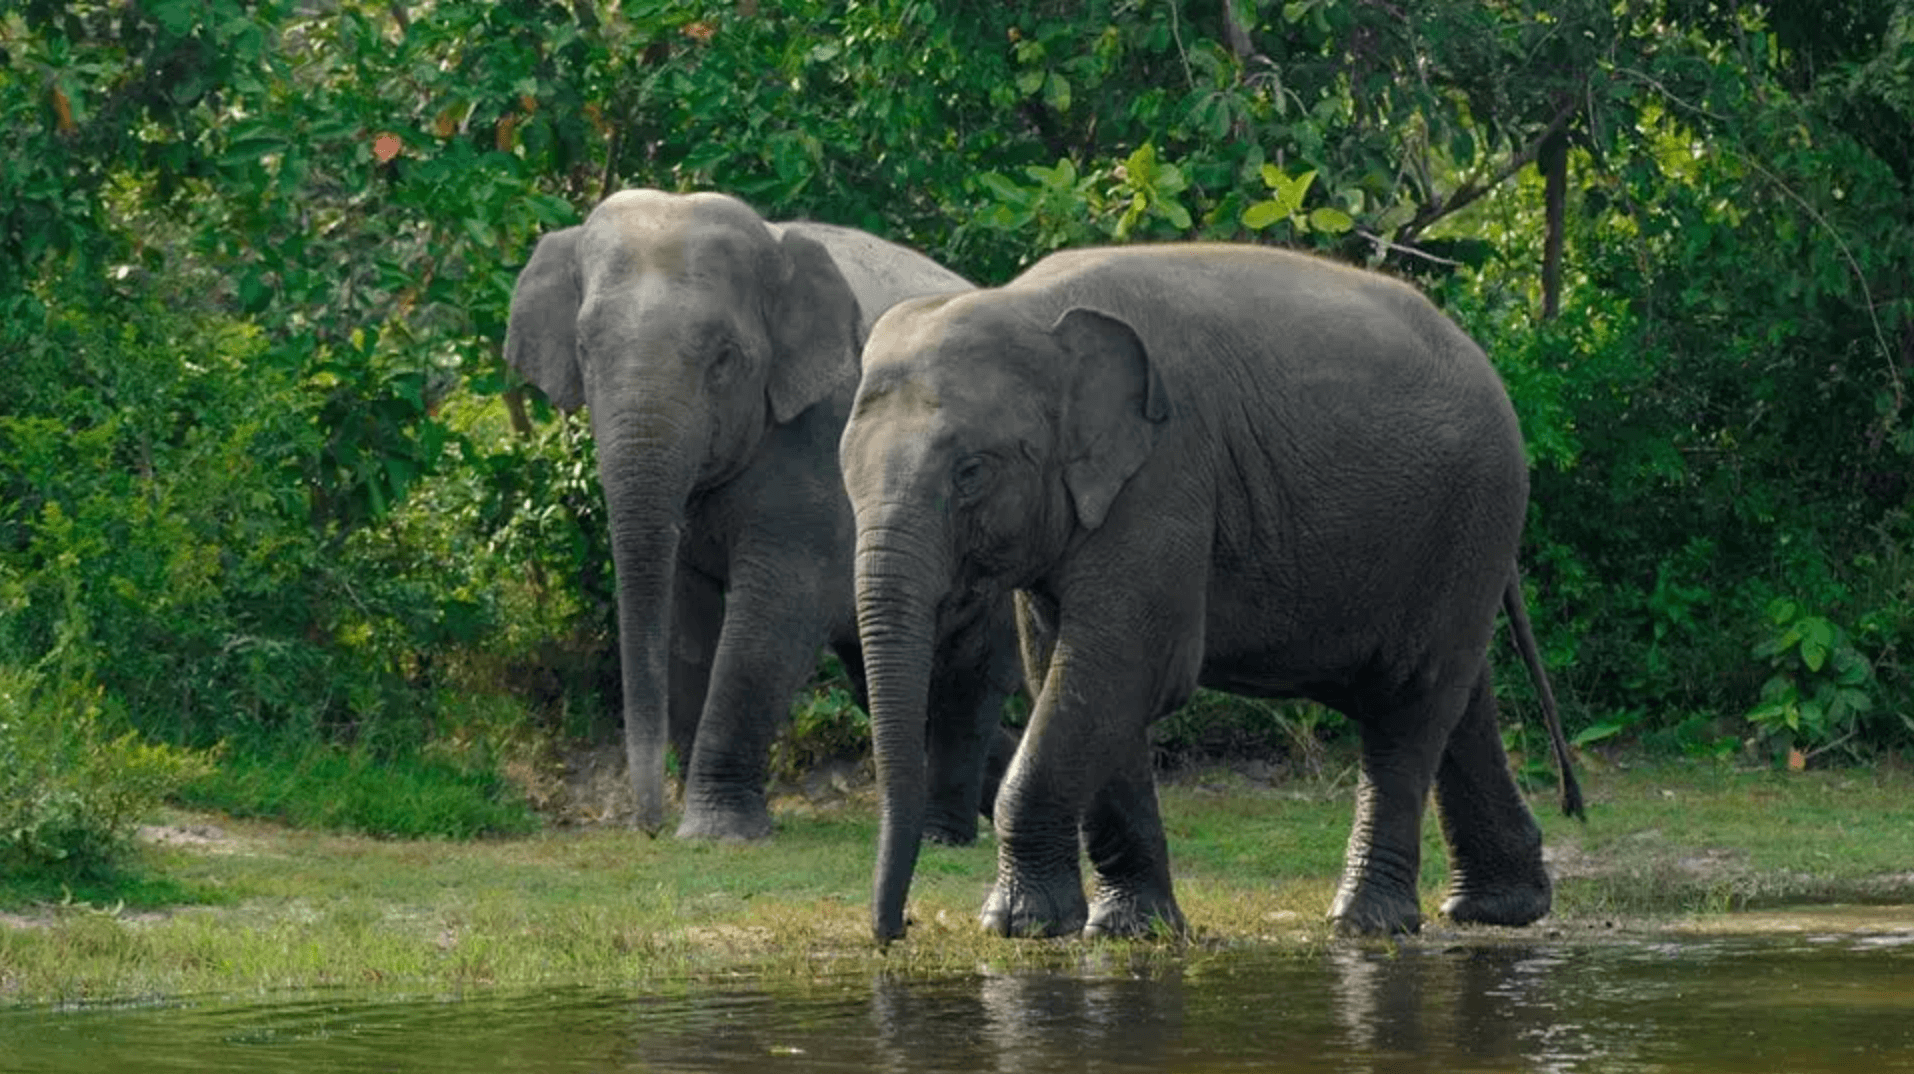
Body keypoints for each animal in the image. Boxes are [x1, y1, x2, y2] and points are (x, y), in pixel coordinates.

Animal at [505, 190, 1018, 846]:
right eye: (584, 348)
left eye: (724, 357)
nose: (647, 826)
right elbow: (686, 621)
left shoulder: (825, 440)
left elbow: (775, 613)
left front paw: (716, 832)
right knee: (887, 678)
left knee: (970, 673)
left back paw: (943, 835)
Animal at [842, 241, 1584, 938]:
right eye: (844, 471)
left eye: (970, 471)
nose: (895, 930)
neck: (1030, 308)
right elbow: (1076, 672)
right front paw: (1130, 929)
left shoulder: (1166, 479)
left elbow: (1126, 666)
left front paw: (1017, 925)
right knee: (1458, 696)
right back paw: (1498, 909)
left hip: (1474, 510)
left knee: (1409, 703)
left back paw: (1366, 922)